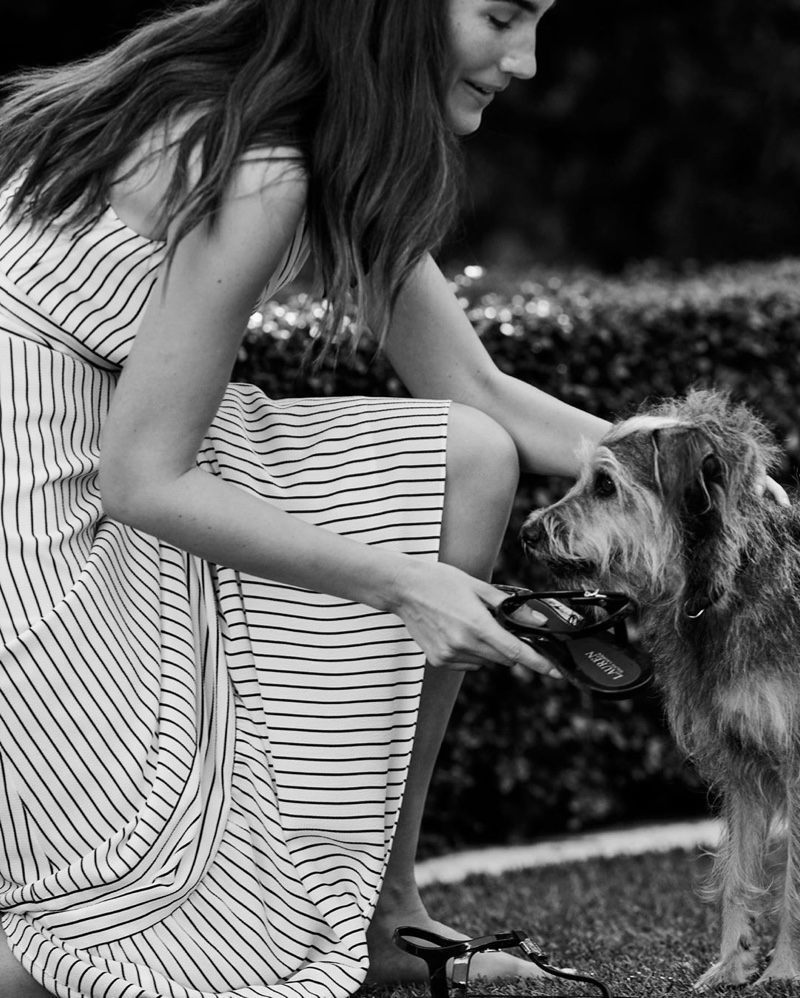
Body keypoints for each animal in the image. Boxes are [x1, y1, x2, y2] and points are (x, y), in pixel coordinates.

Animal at [520, 392, 796, 992]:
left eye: (604, 485)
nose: (527, 531)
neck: (728, 582)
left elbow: (795, 878)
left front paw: (784, 970)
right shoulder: (741, 765)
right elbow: (738, 873)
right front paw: (729, 967)